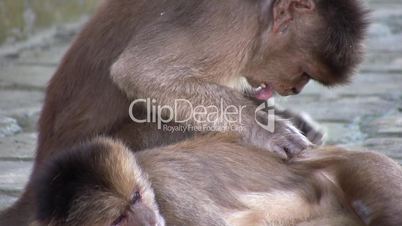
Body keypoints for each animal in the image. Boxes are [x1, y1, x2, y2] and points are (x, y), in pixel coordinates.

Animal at [0, 0, 368, 223]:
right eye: (304, 73)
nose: (294, 89)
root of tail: (38, 174)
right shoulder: (230, 26)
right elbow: (140, 72)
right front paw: (269, 130)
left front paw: (290, 120)